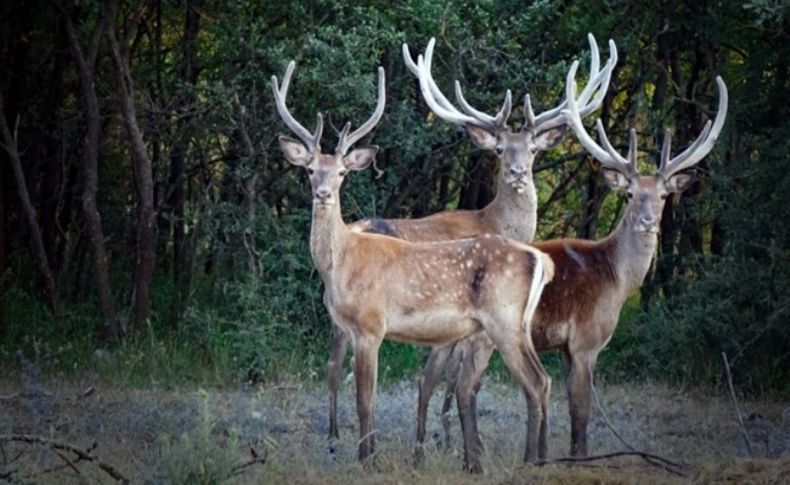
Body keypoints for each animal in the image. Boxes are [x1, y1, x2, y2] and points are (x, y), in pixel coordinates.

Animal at [272, 58, 556, 470]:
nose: (323, 194)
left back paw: (531, 459)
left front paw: (368, 459)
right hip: (514, 324)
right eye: (310, 169)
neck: (341, 265)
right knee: (542, 380)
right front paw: (369, 454)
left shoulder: (371, 325)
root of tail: (540, 258)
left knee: (534, 381)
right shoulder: (352, 327)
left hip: (502, 319)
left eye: (341, 172)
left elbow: (365, 400)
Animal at [322, 36, 620, 460]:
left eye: (532, 149)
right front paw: (451, 443)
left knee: (333, 363)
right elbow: (454, 381)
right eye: (499, 150)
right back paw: (337, 439)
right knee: (338, 365)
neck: (491, 221)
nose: (516, 173)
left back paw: (335, 436)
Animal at [420, 60, 732, 458]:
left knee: (433, 379)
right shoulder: (586, 340)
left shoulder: (567, 348)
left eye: (663, 195)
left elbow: (569, 406)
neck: (616, 277)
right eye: (629, 194)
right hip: (487, 334)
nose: (647, 222)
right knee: (464, 385)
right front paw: (578, 458)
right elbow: (581, 410)